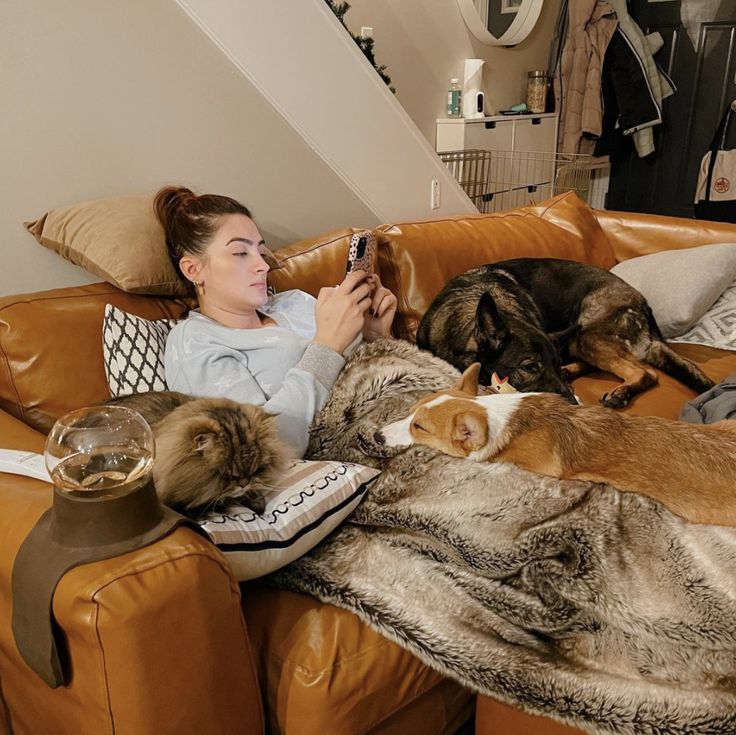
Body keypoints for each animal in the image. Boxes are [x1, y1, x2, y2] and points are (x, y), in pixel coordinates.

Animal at [416, 258, 716, 408]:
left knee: (646, 373)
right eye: (530, 366)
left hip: (586, 336)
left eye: (551, 362)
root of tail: (643, 303)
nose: (572, 403)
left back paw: (620, 392)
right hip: (577, 338)